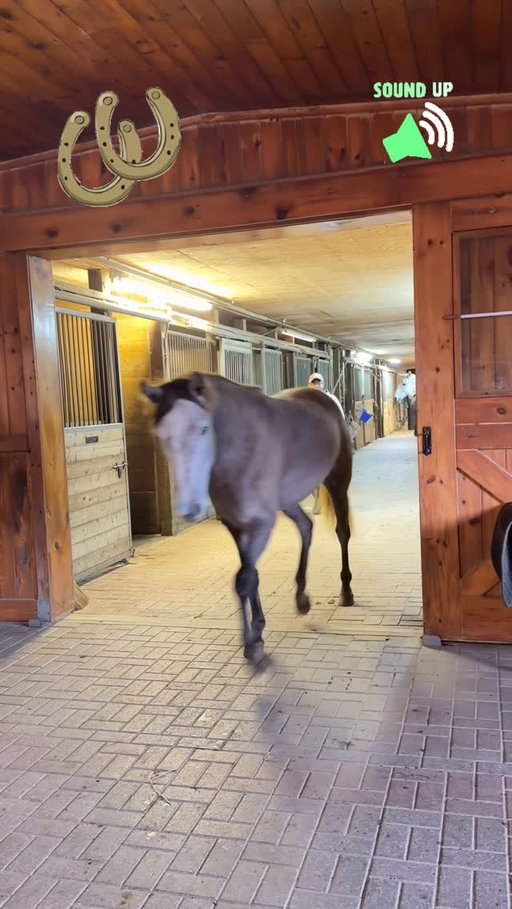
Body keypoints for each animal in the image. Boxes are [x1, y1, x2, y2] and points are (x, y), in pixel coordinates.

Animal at [142, 372, 354, 668]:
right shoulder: (235, 525)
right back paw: (301, 598)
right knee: (306, 527)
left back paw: (346, 592)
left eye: (203, 429)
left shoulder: (261, 524)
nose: (190, 509)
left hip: (337, 482)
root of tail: (324, 399)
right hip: (287, 500)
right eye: (160, 435)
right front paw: (256, 633)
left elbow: (245, 579)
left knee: (342, 531)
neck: (240, 450)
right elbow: (249, 576)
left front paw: (252, 643)